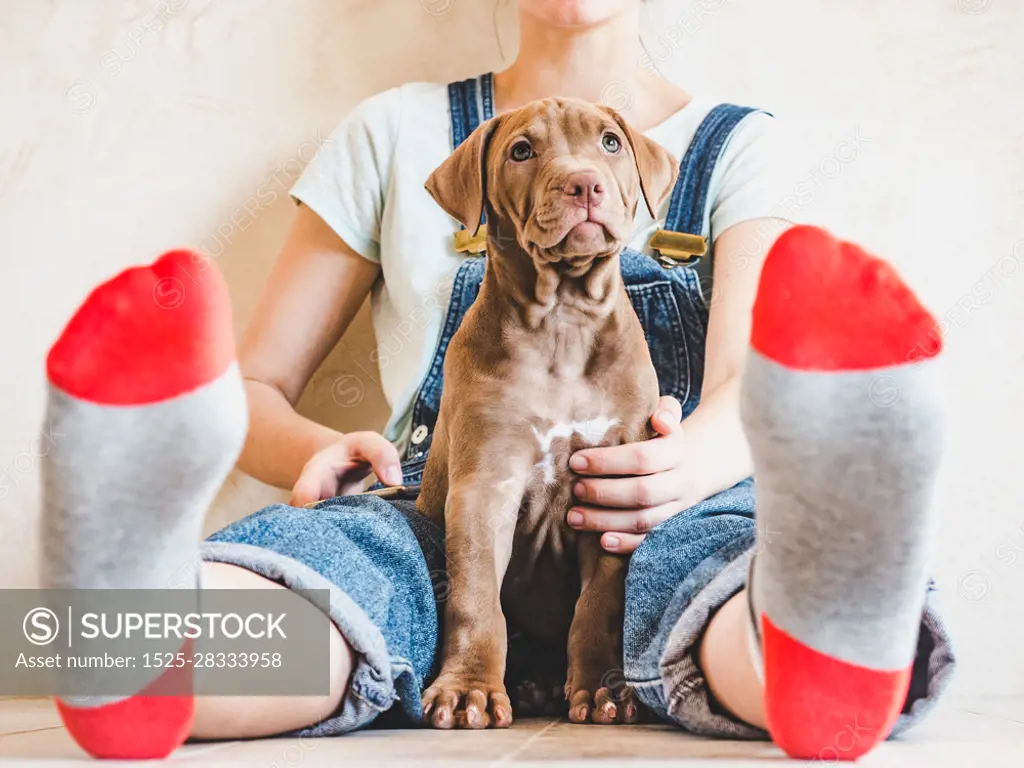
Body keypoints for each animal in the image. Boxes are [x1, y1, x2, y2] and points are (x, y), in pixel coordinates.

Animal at [419, 96, 675, 729]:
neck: (562, 319)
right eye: (521, 151)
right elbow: (476, 598)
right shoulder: (484, 487)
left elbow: (600, 603)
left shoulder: (612, 487)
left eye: (610, 142)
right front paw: (468, 689)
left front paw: (605, 687)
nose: (584, 183)